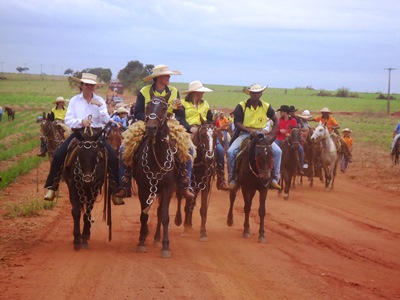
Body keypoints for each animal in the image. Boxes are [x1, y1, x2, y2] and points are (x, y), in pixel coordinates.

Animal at [132, 96, 177, 258]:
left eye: (164, 108)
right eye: (148, 107)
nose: (151, 128)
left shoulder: (169, 188)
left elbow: (164, 216)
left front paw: (165, 246)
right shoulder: (143, 188)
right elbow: (143, 215)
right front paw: (141, 241)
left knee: (158, 212)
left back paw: (157, 238)